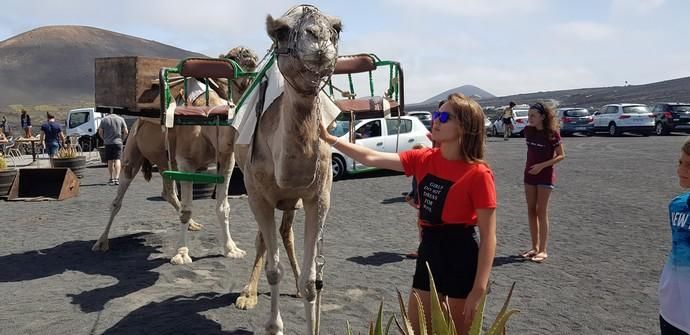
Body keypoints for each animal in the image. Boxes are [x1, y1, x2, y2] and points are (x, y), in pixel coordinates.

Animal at [234, 5, 342, 335]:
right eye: (281, 31)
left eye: (337, 28)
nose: (318, 37)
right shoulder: (258, 197)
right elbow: (273, 270)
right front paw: (273, 325)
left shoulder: (318, 197)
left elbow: (311, 282)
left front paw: (302, 289)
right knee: (264, 239)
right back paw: (247, 294)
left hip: (292, 201)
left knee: (286, 233)